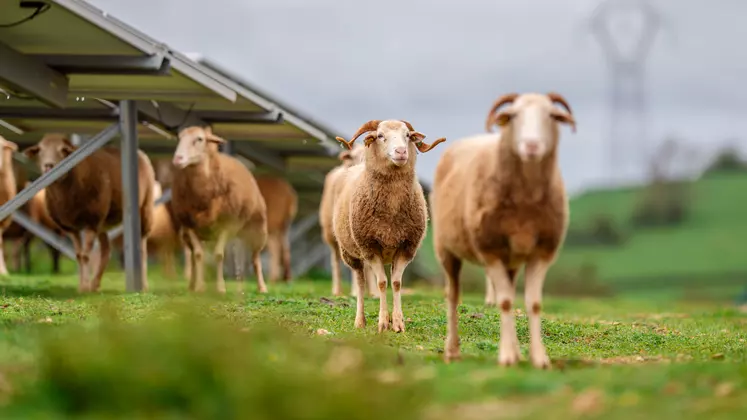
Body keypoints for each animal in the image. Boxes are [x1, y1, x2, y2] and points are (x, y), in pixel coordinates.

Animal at [23, 134, 156, 292]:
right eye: (40, 150)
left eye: (63, 150)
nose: (48, 165)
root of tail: (140, 153)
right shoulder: (72, 228)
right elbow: (79, 255)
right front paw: (82, 286)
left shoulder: (91, 221)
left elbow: (86, 256)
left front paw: (85, 286)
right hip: (103, 222)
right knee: (106, 251)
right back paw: (95, 285)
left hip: (144, 209)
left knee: (142, 249)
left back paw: (144, 285)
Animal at [171, 126, 268, 294]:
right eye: (179, 138)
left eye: (199, 139)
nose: (178, 159)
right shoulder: (189, 225)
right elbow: (198, 255)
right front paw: (199, 287)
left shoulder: (227, 225)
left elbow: (218, 255)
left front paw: (220, 288)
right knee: (194, 256)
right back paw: (193, 285)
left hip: (257, 230)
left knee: (255, 258)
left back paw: (261, 287)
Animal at [322, 144, 380, 298]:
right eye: (354, 157)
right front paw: (355, 291)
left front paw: (374, 292)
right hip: (332, 232)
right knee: (336, 259)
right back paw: (337, 290)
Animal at [332, 118, 444, 332]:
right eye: (380, 135)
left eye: (407, 135)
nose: (401, 151)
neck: (391, 211)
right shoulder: (370, 247)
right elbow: (383, 283)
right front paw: (383, 323)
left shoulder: (406, 247)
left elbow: (397, 283)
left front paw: (398, 322)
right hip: (351, 253)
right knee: (360, 283)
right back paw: (360, 321)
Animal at [426, 91, 580, 368]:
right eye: (513, 116)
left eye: (552, 116)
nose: (531, 146)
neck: (526, 201)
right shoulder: (490, 250)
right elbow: (506, 301)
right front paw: (507, 356)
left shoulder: (541, 253)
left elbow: (534, 303)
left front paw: (538, 358)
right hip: (446, 249)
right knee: (453, 296)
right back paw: (452, 350)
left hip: (512, 260)